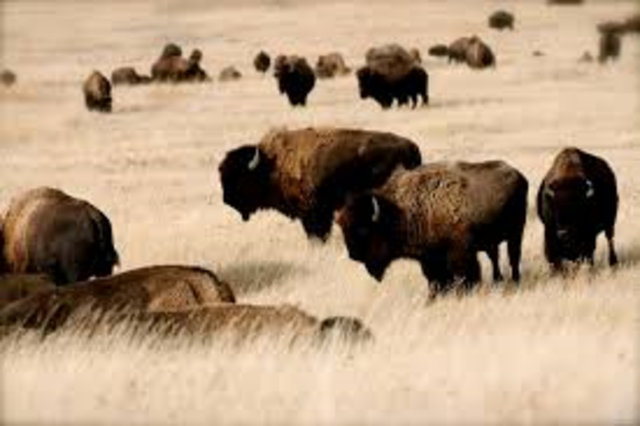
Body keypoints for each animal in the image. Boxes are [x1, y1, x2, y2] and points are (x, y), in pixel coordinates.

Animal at [218, 127, 422, 241]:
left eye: (239, 177)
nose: (226, 200)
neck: (272, 165)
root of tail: (410, 146)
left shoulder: (313, 213)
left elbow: (316, 233)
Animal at [338, 161, 528, 295]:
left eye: (364, 230)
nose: (353, 255)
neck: (399, 211)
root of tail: (519, 175)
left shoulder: (460, 253)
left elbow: (466, 275)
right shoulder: (430, 257)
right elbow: (434, 279)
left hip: (516, 233)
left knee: (514, 257)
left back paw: (515, 282)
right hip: (495, 240)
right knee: (495, 258)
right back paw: (499, 281)